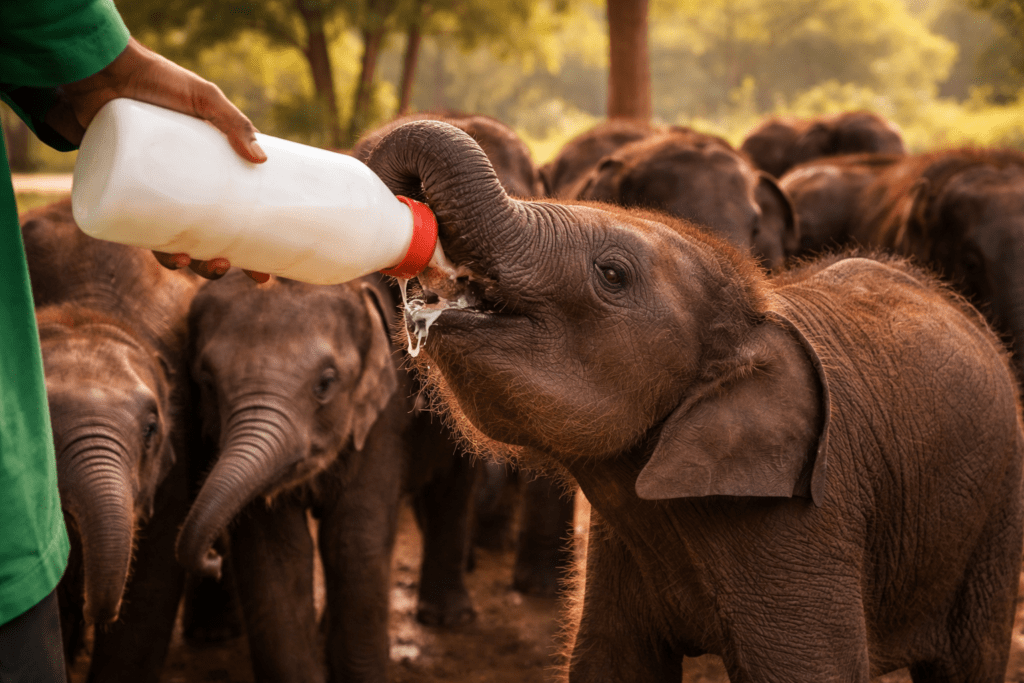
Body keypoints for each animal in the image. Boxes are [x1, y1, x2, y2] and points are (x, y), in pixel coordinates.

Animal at [175, 271, 407, 683]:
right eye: (208, 382)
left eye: (326, 383)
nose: (211, 560)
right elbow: (276, 552)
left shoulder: (383, 417)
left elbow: (353, 541)